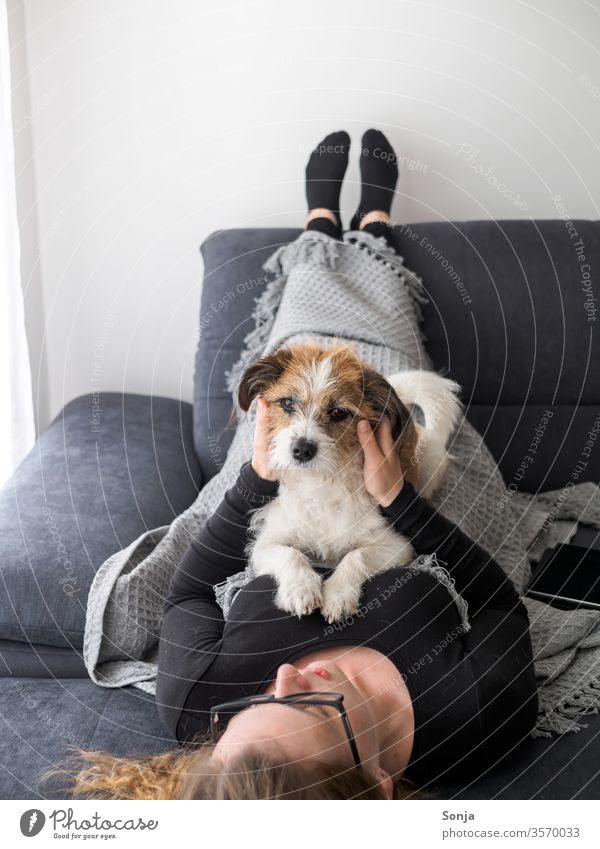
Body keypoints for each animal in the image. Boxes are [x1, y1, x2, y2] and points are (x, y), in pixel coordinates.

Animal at [237, 338, 462, 624]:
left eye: (338, 412)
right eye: (287, 402)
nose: (302, 449)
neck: (320, 482)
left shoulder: (396, 547)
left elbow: (357, 555)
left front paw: (338, 595)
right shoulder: (266, 543)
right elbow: (290, 554)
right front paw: (301, 589)